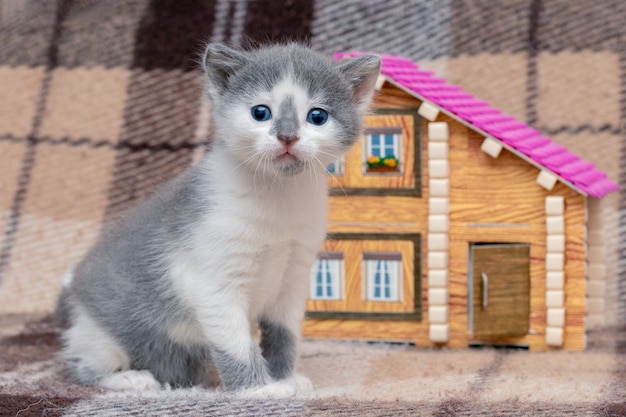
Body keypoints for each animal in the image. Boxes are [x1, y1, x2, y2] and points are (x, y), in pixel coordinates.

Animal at [57, 44, 380, 394]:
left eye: (317, 116)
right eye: (260, 113)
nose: (287, 137)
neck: (279, 197)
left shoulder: (293, 278)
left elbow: (284, 334)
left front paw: (284, 377)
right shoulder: (214, 283)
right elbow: (235, 345)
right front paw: (259, 389)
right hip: (98, 335)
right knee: (81, 366)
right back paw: (129, 377)